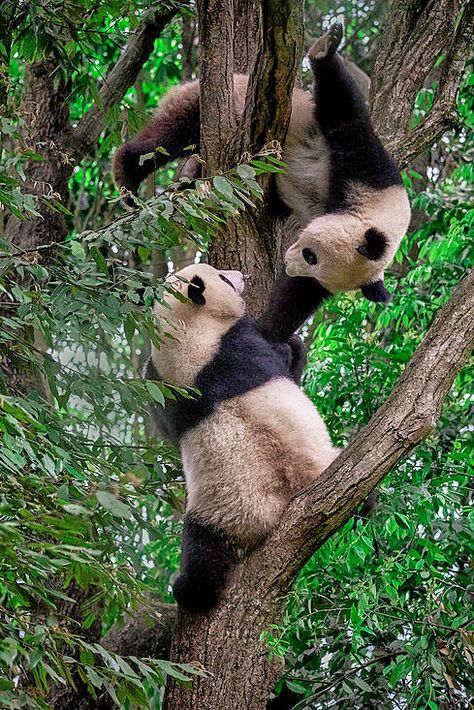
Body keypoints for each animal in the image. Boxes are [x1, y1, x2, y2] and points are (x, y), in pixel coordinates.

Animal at [114, 21, 412, 306]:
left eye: (313, 268)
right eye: (311, 255)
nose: (289, 265)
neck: (379, 211)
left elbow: (291, 302)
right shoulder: (368, 170)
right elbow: (344, 115)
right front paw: (325, 48)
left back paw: (186, 184)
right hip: (213, 101)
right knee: (166, 138)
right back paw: (127, 179)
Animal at [146, 264, 338, 616]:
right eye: (222, 278)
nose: (240, 276)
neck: (186, 330)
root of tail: (272, 511)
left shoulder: (163, 386)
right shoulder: (241, 340)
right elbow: (284, 356)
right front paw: (295, 345)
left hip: (213, 514)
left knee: (203, 553)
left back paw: (191, 591)